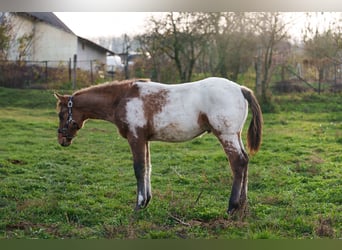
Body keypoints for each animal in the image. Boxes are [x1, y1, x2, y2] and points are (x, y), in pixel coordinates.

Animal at [54, 76, 264, 215]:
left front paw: (139, 205)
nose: (62, 140)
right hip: (235, 135)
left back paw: (232, 207)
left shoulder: (135, 137)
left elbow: (139, 169)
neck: (122, 98)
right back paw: (242, 205)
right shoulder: (144, 139)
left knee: (237, 163)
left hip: (226, 135)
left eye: (61, 114)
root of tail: (241, 89)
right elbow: (148, 168)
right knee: (245, 161)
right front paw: (146, 201)